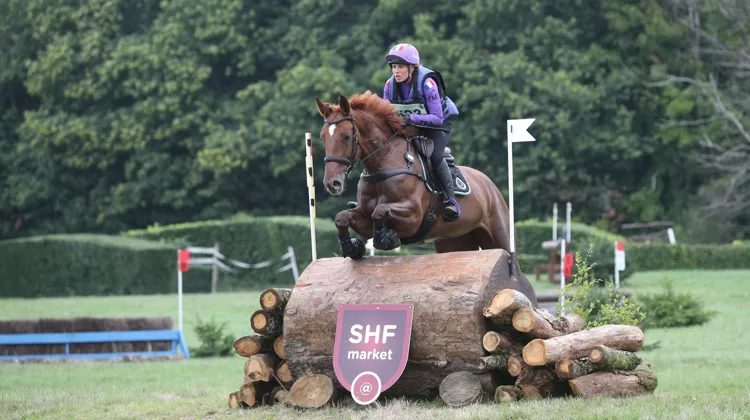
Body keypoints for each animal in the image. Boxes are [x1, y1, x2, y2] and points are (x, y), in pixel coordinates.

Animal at [315, 91, 536, 301]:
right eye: (322, 136)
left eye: (345, 136)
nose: (332, 184)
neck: (384, 163)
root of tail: (489, 185)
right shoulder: (363, 217)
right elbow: (342, 217)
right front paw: (351, 247)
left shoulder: (413, 216)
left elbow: (380, 211)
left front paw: (386, 238)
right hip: (454, 242)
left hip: (500, 235)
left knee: (515, 268)